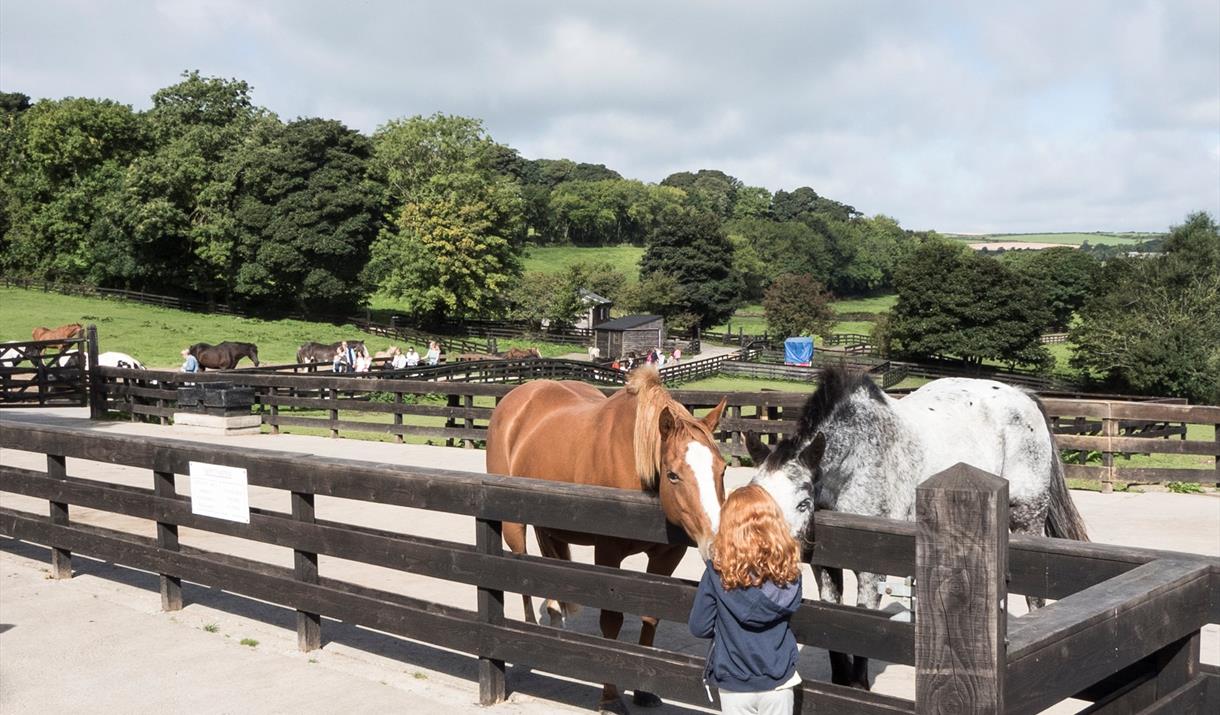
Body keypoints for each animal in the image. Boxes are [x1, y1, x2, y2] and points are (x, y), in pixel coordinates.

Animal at [485, 368, 727, 712]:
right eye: (673, 474)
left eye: (722, 470)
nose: (716, 545)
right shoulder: (608, 552)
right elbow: (611, 621)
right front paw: (610, 697)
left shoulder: (667, 556)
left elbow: (651, 616)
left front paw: (643, 691)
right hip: (511, 523)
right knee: (522, 578)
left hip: (548, 522)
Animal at [746, 363, 1093, 688]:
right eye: (755, 496)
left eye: (802, 503)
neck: (855, 458)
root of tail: (1024, 396)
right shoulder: (825, 562)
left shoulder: (870, 566)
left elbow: (864, 621)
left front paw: (859, 685)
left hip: (1026, 518)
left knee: (1035, 594)